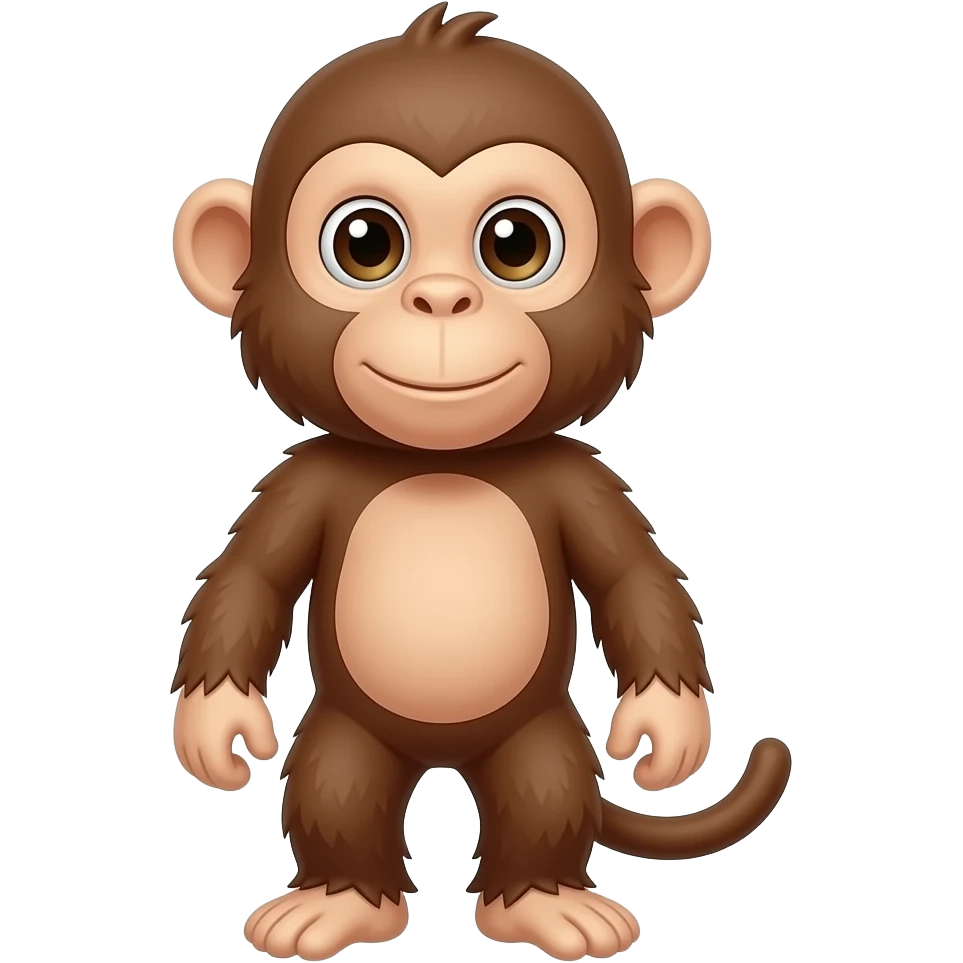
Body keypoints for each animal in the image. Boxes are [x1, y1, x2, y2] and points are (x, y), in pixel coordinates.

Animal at [169, 5, 792, 961]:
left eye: (516, 244)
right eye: (365, 243)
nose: (439, 299)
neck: (442, 460)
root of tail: (441, 755)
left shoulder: (578, 478)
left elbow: (632, 577)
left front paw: (666, 726)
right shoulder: (304, 477)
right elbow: (252, 578)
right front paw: (217, 726)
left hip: (538, 735)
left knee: (545, 787)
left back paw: (544, 902)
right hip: (348, 732)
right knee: (335, 784)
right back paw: (339, 902)